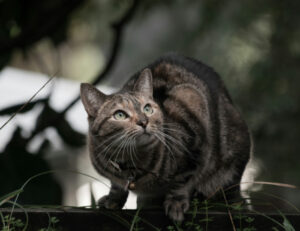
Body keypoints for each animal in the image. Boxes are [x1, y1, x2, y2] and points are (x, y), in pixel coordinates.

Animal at [79, 53, 251, 221]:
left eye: (147, 108)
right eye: (120, 115)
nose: (144, 122)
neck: (131, 161)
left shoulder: (195, 132)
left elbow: (183, 180)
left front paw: (176, 202)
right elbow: (116, 185)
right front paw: (113, 199)